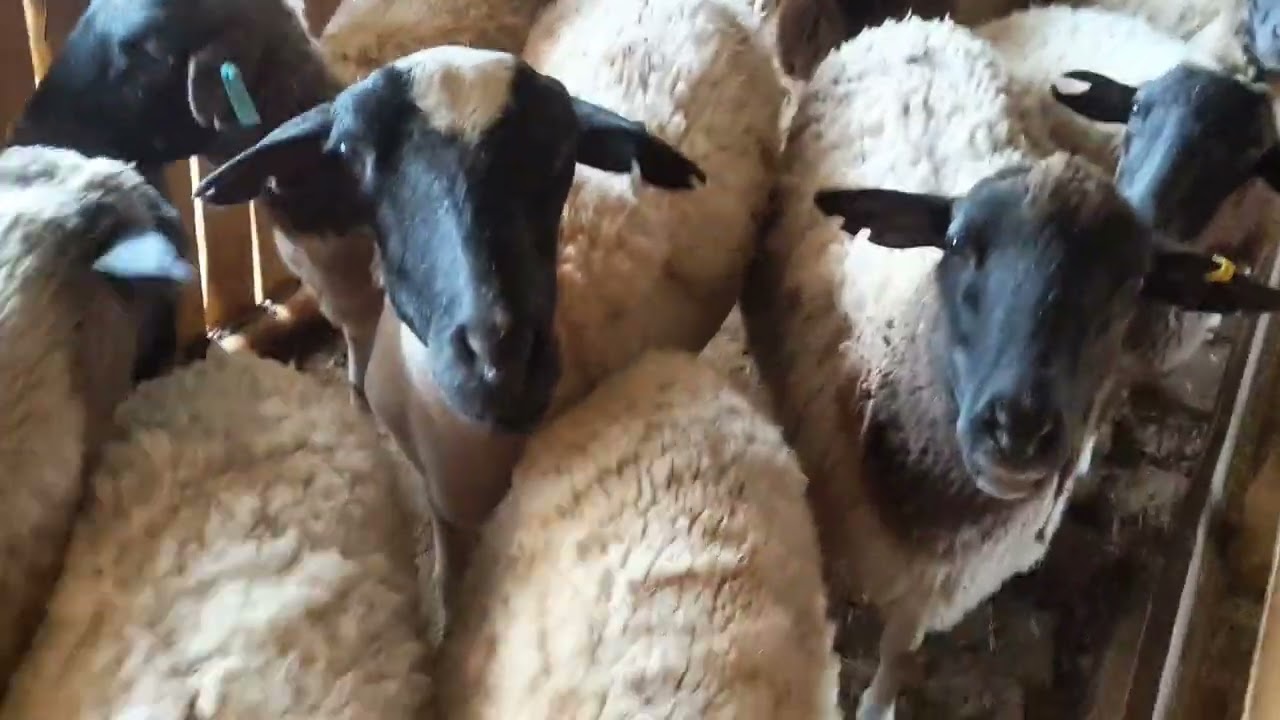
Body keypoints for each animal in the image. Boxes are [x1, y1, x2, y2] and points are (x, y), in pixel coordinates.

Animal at [737, 16, 1280, 718]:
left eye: (1133, 281)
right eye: (957, 243)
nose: (1018, 431)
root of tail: (922, 23)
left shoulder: (939, 582)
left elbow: (899, 652)